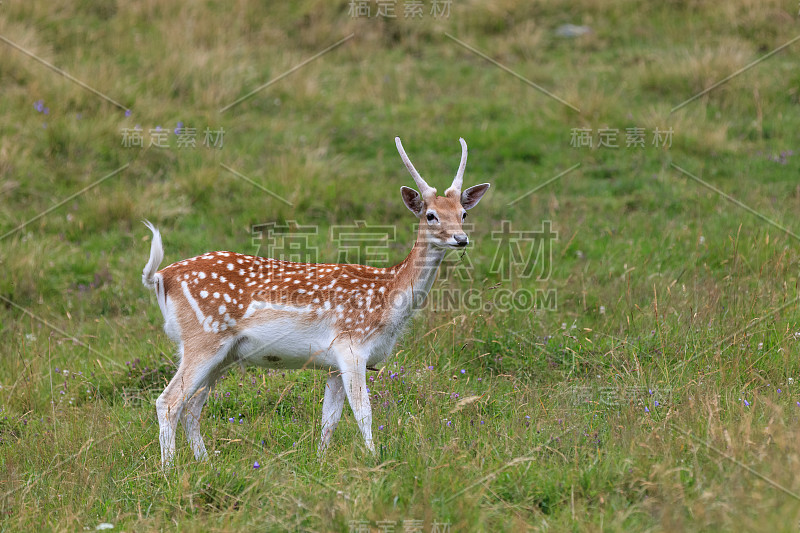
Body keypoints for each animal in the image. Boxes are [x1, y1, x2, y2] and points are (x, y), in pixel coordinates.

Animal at [144, 137, 490, 466]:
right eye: (430, 215)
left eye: (463, 213)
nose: (461, 238)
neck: (388, 300)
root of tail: (161, 277)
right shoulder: (351, 345)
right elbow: (363, 412)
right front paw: (375, 460)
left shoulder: (333, 363)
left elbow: (330, 419)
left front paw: (321, 461)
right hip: (202, 338)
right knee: (168, 402)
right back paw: (169, 469)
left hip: (224, 354)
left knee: (191, 407)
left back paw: (204, 463)